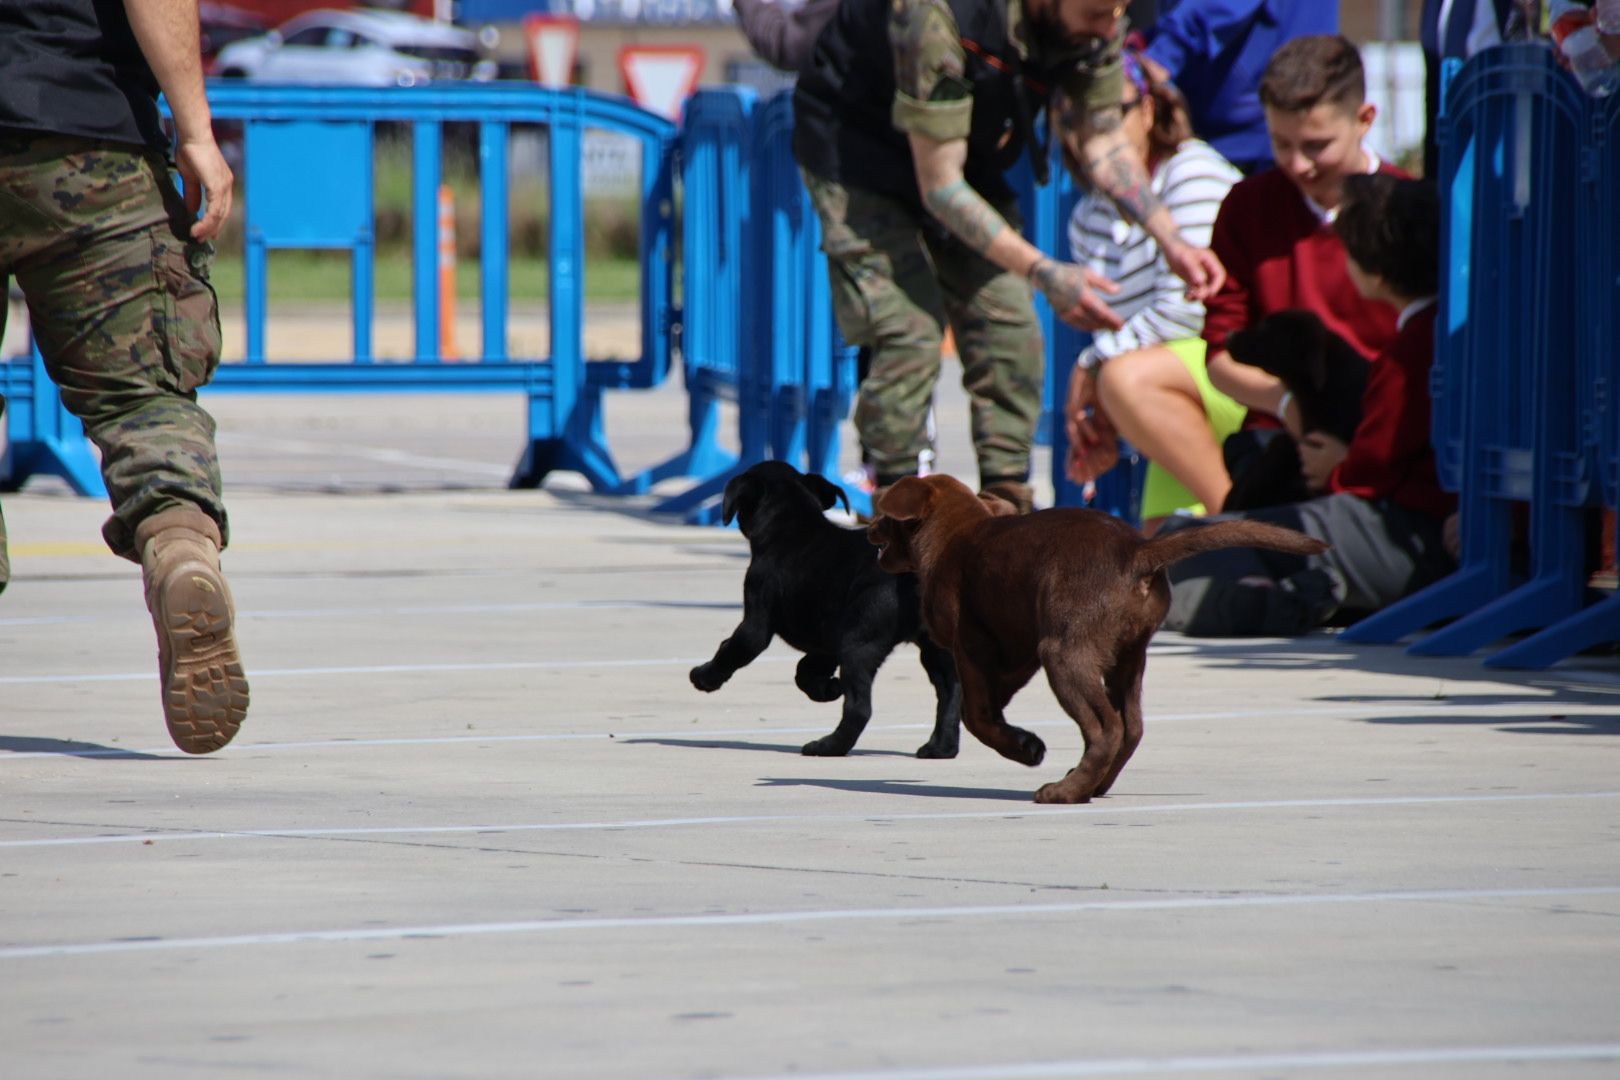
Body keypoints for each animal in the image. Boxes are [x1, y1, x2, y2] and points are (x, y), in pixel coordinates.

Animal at [686, 459, 959, 757]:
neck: (792, 524)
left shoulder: (755, 623)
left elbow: (732, 649)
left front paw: (704, 676)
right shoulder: (829, 641)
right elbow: (804, 670)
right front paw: (826, 688)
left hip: (859, 645)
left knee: (859, 708)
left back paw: (828, 746)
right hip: (936, 651)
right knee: (950, 695)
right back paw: (940, 748)